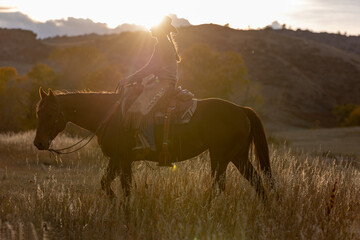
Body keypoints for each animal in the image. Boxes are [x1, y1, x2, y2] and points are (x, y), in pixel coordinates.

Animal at [33, 87, 274, 200]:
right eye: (38, 113)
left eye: (50, 113)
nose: (39, 143)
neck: (110, 115)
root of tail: (241, 109)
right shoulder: (118, 160)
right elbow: (106, 184)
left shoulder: (124, 159)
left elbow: (125, 189)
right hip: (237, 156)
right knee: (257, 183)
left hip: (221, 156)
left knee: (217, 186)